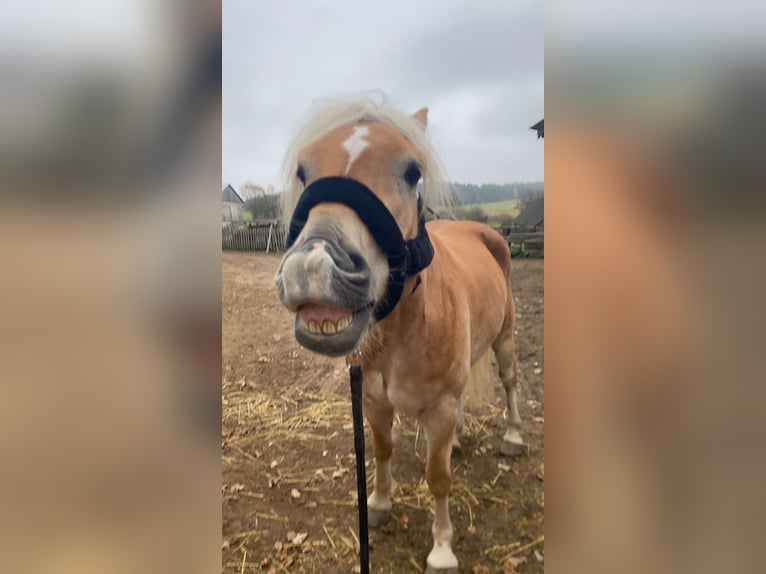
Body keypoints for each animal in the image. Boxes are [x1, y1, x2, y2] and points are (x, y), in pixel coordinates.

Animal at [272, 97, 524, 572]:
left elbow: (438, 478)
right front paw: (379, 504)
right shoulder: (373, 401)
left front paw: (442, 549)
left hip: (505, 337)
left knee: (509, 381)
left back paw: (514, 436)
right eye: (302, 170)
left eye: (412, 171)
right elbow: (383, 450)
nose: (314, 266)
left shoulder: (439, 408)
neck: (405, 330)